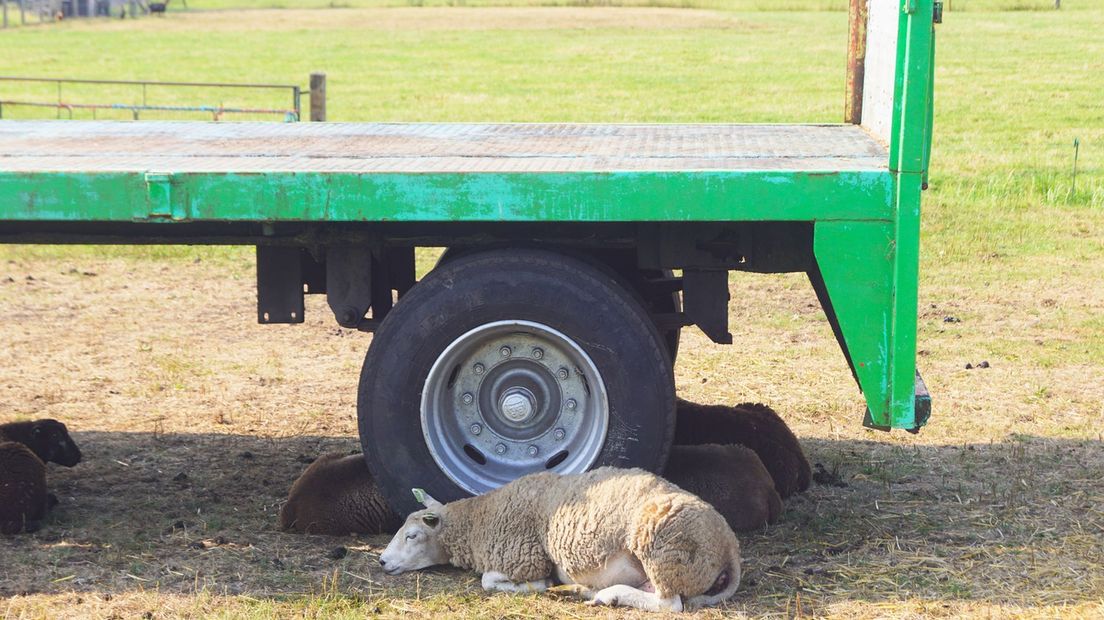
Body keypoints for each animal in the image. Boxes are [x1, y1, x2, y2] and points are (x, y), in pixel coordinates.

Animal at [377, 465, 741, 608]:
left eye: (411, 536)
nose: (381, 561)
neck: (479, 521)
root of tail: (728, 545)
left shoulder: (524, 556)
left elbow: (489, 581)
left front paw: (537, 586)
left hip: (665, 553)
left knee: (670, 604)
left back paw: (607, 596)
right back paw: (582, 590)